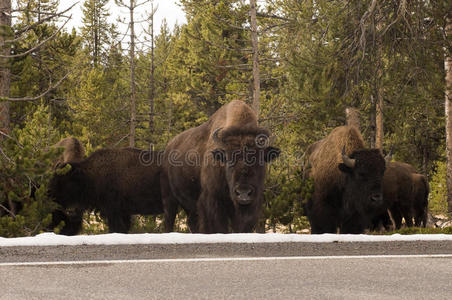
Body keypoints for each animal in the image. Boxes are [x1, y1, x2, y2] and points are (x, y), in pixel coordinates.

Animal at [159, 99, 278, 233]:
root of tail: (168, 148)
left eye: (259, 159)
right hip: (169, 198)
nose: (243, 193)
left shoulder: (252, 204)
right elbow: (218, 227)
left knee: (191, 221)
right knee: (169, 220)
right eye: (229, 160)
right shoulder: (212, 201)